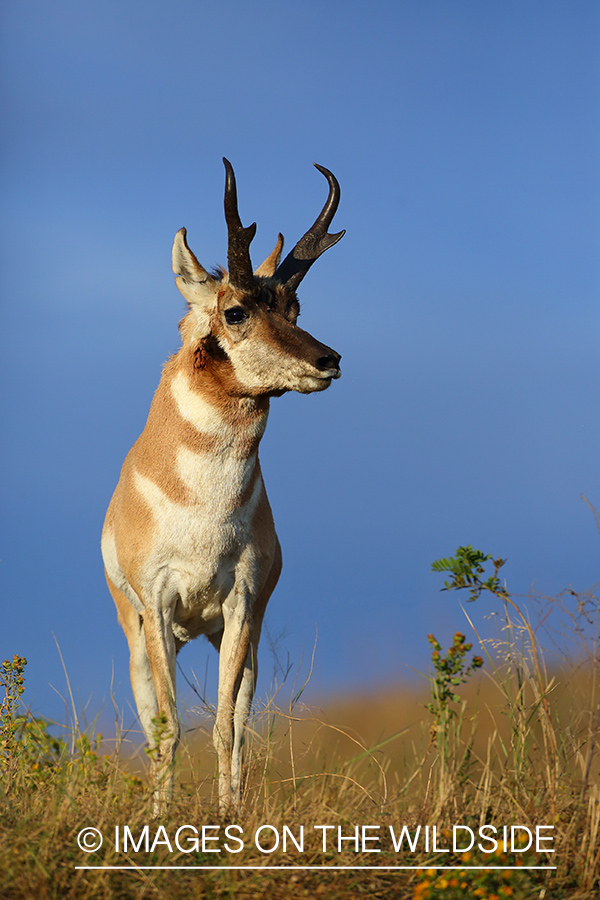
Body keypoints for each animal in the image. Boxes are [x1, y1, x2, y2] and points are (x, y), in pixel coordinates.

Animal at [101, 158, 344, 812]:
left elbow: (226, 725)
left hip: (237, 636)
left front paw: (228, 815)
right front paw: (162, 822)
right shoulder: (158, 607)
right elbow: (166, 728)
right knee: (151, 719)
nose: (329, 360)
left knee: (237, 717)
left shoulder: (239, 604)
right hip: (139, 635)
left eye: (294, 306)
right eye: (235, 311)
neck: (202, 511)